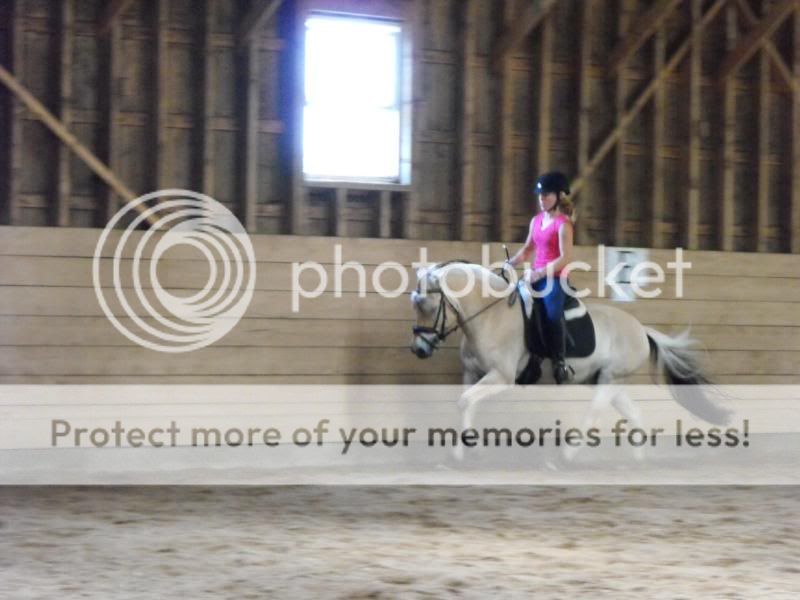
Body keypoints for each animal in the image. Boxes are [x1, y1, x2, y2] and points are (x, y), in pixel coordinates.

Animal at [412, 262, 732, 460]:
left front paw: (471, 451)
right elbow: (465, 404)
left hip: (609, 380)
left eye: (428, 306)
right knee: (634, 415)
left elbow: (466, 402)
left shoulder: (501, 377)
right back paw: (637, 462)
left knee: (593, 414)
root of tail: (641, 330)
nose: (419, 349)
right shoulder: (472, 372)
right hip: (609, 381)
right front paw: (460, 452)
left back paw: (565, 457)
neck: (492, 315)